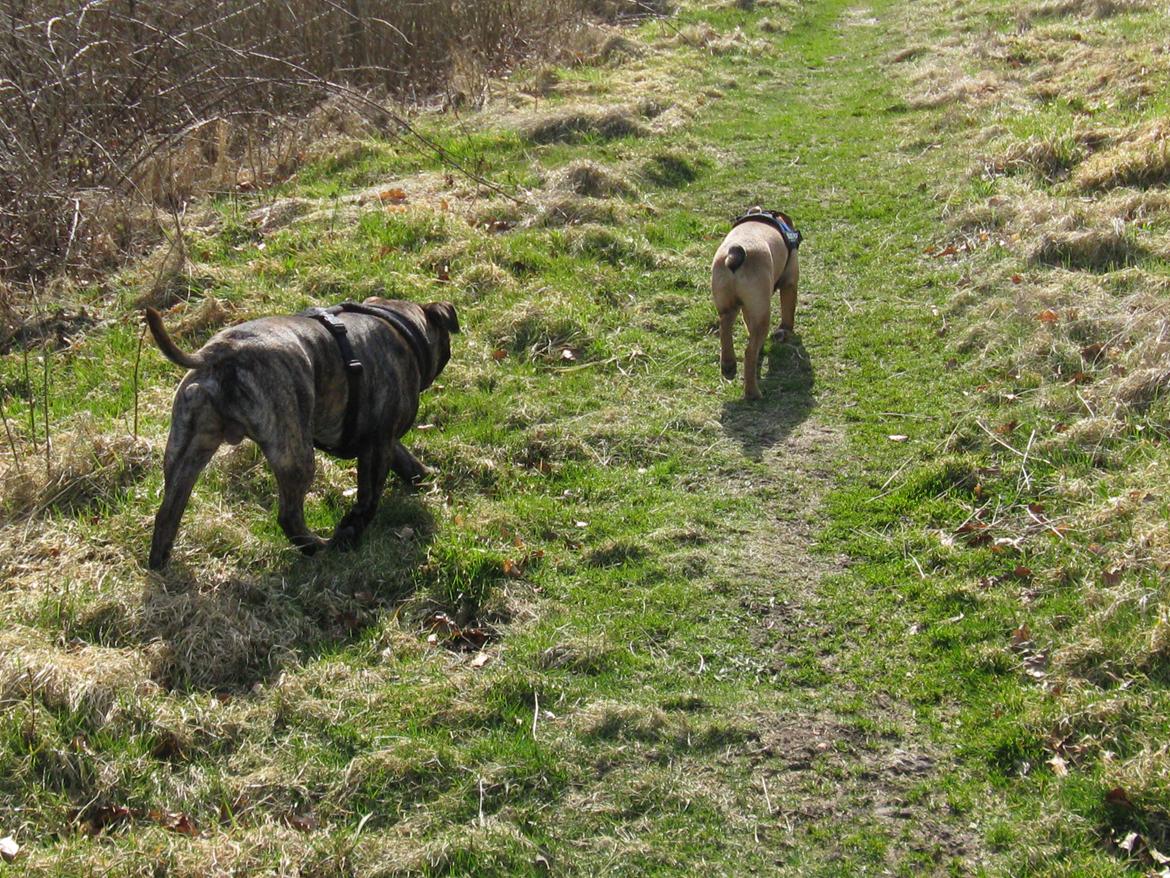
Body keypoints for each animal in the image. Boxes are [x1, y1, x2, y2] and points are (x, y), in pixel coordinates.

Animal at [706, 208, 800, 400]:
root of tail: (735, 254)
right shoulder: (790, 282)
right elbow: (788, 313)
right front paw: (785, 331)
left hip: (730, 305)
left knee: (725, 329)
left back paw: (728, 365)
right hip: (762, 313)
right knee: (749, 353)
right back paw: (753, 393)